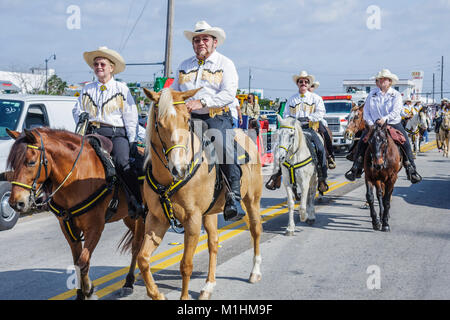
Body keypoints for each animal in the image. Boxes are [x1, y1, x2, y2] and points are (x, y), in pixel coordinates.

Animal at [6, 127, 145, 300]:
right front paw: (81, 294)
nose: (15, 203)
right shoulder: (69, 229)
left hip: (142, 216)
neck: (76, 177)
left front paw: (89, 290)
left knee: (137, 245)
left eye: (30, 162)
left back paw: (129, 282)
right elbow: (77, 262)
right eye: (13, 164)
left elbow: (83, 262)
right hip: (129, 217)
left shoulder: (95, 228)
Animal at [138, 87, 264, 300]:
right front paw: (157, 295)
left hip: (252, 200)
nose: (179, 168)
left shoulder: (193, 220)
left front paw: (184, 297)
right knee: (213, 242)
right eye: (159, 123)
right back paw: (208, 286)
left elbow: (186, 265)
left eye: (187, 120)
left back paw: (255, 272)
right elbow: (143, 259)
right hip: (210, 213)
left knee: (255, 230)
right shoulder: (156, 219)